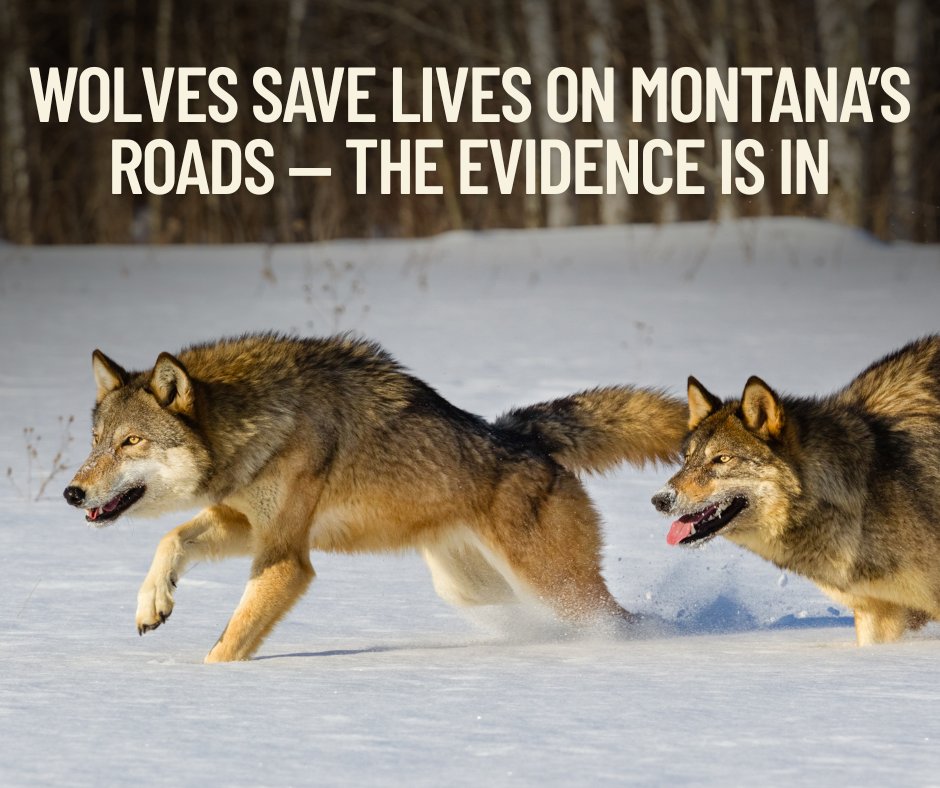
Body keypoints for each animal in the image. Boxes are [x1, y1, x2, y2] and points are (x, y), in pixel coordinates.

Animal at [64, 333, 686, 662]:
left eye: (130, 442)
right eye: (96, 442)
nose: (72, 492)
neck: (261, 424)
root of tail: (522, 434)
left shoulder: (286, 558)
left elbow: (230, 641)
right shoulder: (247, 524)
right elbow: (171, 539)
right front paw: (153, 603)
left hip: (551, 584)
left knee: (616, 619)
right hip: (472, 588)